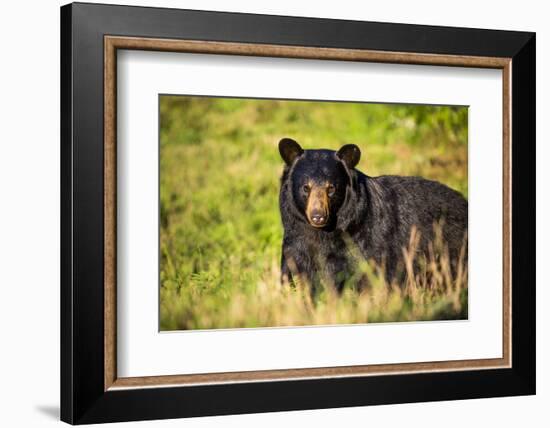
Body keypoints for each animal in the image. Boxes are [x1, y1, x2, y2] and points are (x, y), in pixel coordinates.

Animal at [280, 139, 470, 292]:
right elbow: (293, 270)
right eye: (306, 187)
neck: (324, 232)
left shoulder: (362, 242)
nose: (318, 216)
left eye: (331, 188)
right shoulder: (295, 240)